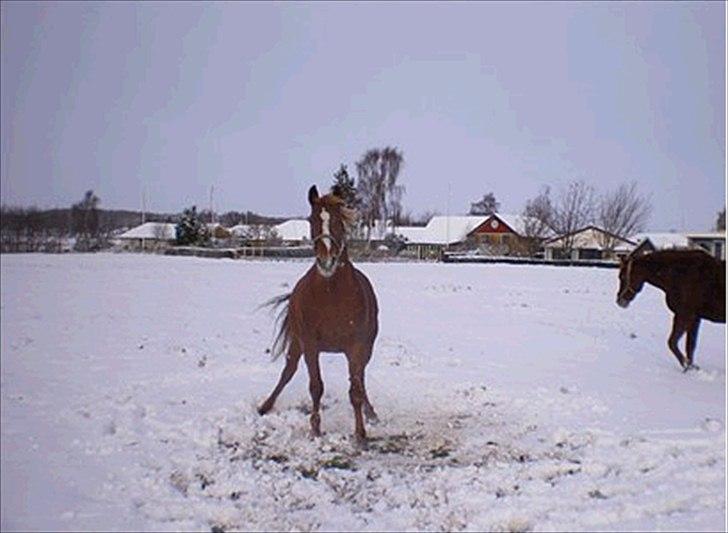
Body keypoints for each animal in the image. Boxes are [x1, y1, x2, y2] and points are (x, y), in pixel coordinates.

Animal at [258, 185, 382, 442]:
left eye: (337, 220)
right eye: (312, 219)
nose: (326, 261)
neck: (331, 294)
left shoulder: (357, 346)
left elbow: (355, 389)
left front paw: (360, 432)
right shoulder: (310, 345)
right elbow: (316, 387)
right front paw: (315, 429)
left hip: (365, 349)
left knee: (361, 378)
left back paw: (371, 413)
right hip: (297, 344)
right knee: (288, 371)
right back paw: (265, 406)